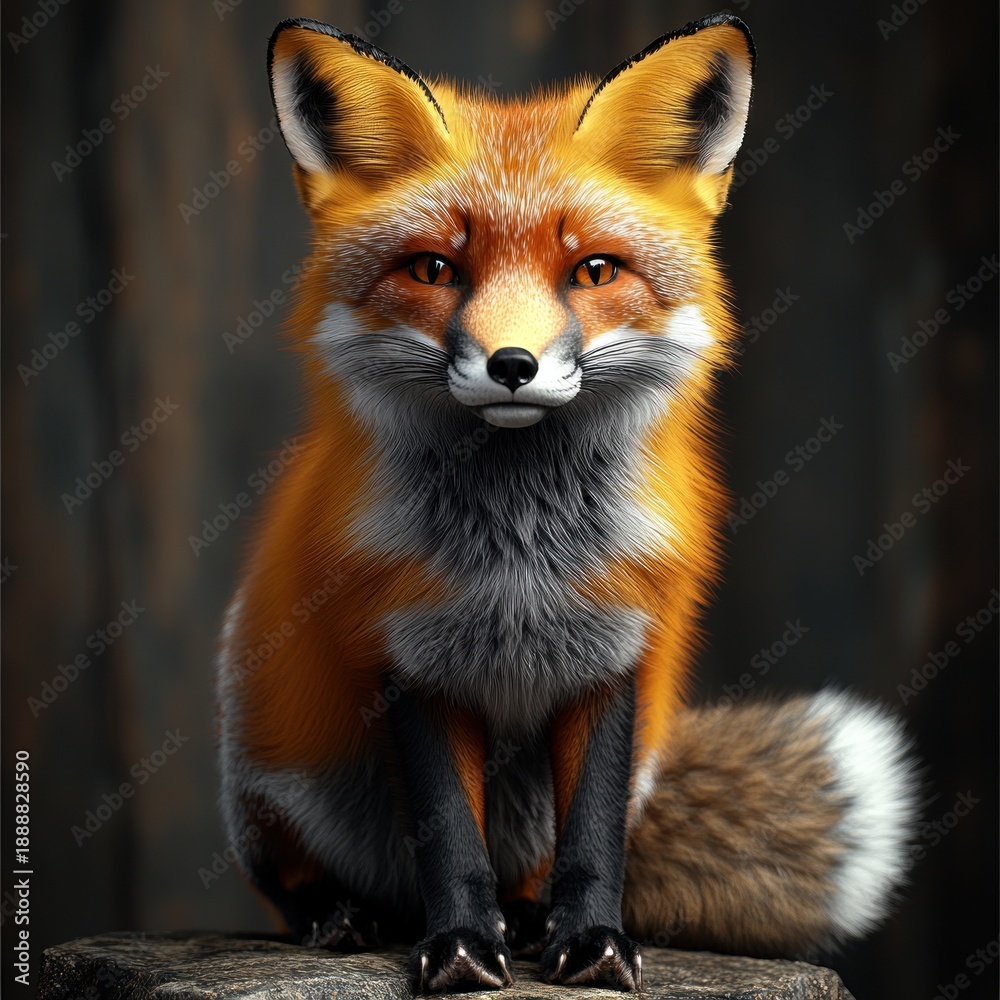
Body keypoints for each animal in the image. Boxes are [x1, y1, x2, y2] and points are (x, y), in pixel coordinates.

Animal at [216, 13, 918, 993]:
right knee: (290, 878)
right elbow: (450, 835)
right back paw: (343, 913)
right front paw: (460, 948)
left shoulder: (616, 650)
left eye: (593, 270)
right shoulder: (409, 655)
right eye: (432, 268)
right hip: (271, 773)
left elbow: (594, 833)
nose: (512, 364)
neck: (523, 558)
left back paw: (524, 916)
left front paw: (589, 943)